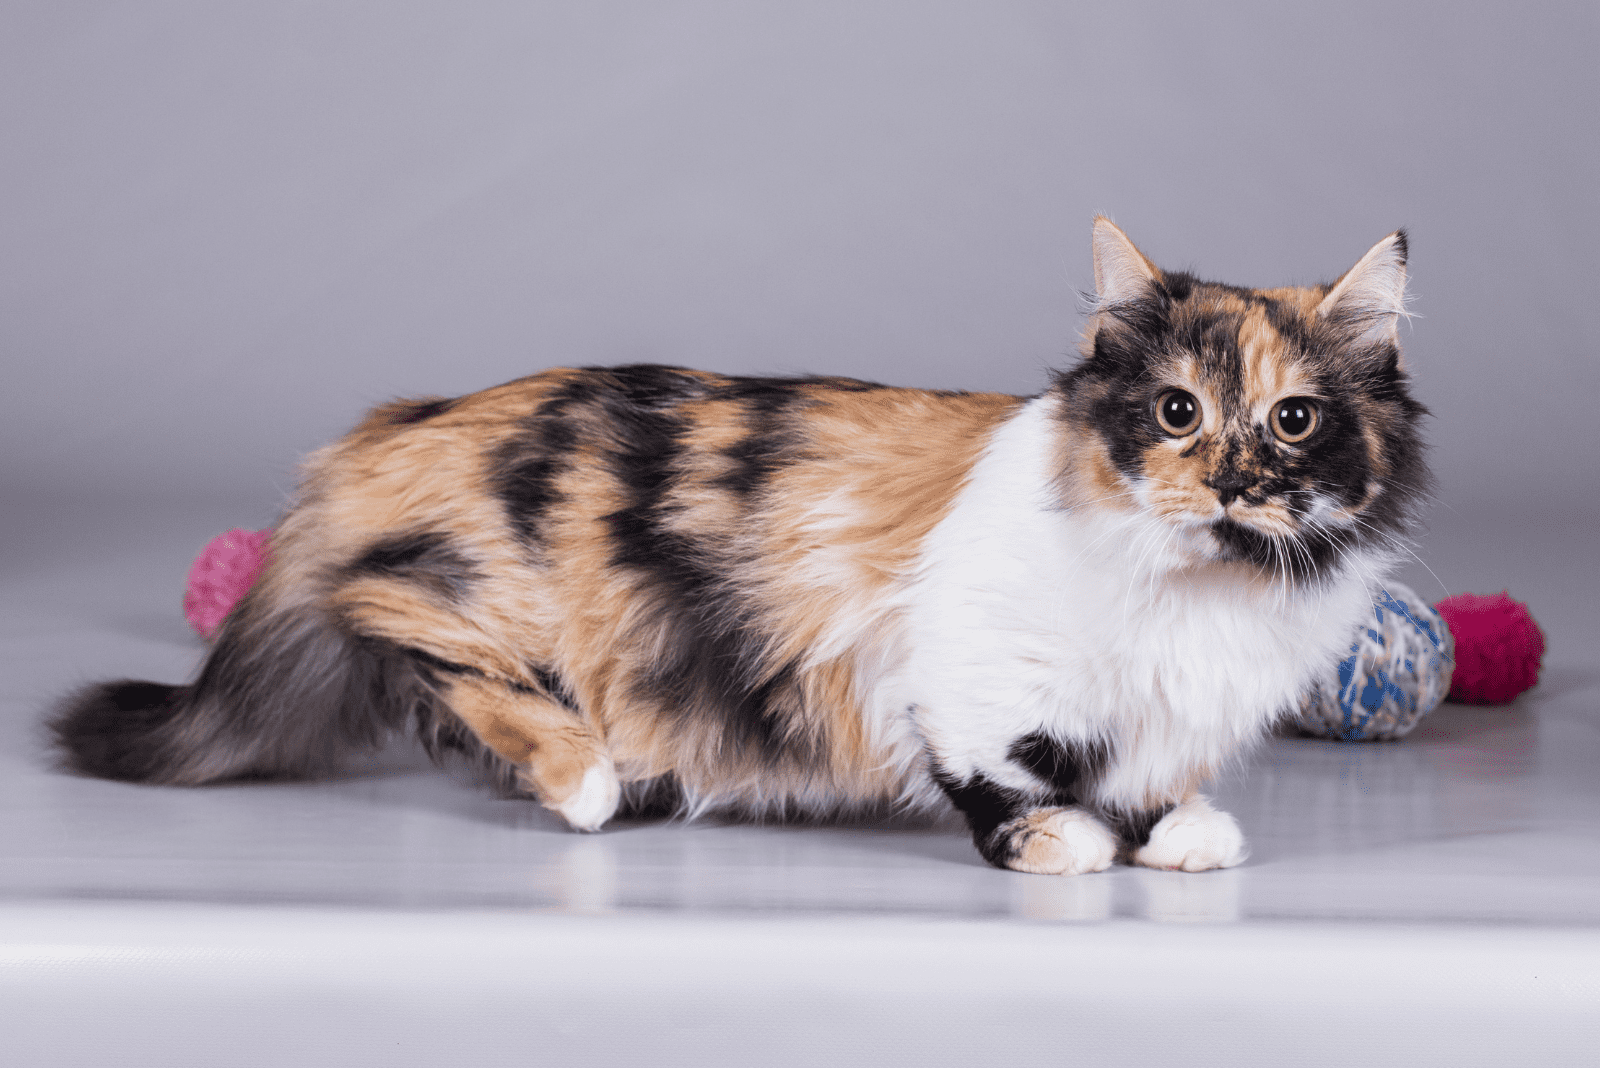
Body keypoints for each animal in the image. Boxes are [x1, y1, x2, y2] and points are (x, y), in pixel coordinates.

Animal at [50, 219, 1433, 876]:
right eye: (1176, 413)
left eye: (1293, 420)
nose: (1233, 483)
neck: (1205, 593)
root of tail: (395, 426)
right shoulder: (961, 668)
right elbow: (1005, 772)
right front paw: (1060, 842)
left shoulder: (1163, 705)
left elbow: (1148, 773)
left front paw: (1175, 830)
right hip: (478, 587)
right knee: (397, 625)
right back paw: (584, 777)